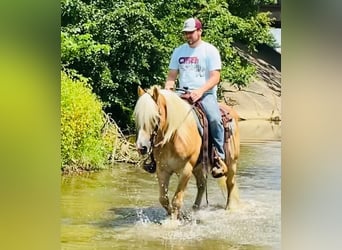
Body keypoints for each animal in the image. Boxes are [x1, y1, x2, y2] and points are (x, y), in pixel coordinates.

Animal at [134, 85, 240, 219]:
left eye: (155, 118)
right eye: (137, 117)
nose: (141, 147)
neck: (174, 137)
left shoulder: (185, 170)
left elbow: (176, 200)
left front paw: (173, 221)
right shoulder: (162, 170)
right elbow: (163, 199)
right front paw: (173, 215)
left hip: (231, 163)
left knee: (230, 184)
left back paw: (229, 208)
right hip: (198, 166)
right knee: (202, 185)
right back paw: (195, 209)